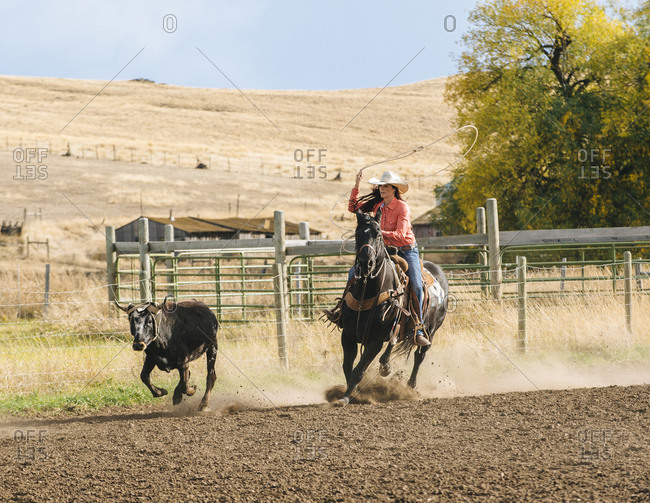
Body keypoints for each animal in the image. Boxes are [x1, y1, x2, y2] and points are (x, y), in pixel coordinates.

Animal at [334, 211, 446, 408]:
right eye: (357, 234)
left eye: (379, 235)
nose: (367, 263)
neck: (368, 291)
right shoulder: (347, 335)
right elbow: (347, 367)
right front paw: (352, 393)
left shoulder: (375, 340)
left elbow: (358, 370)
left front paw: (347, 397)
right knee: (395, 341)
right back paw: (386, 366)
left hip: (431, 331)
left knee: (419, 355)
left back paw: (410, 386)